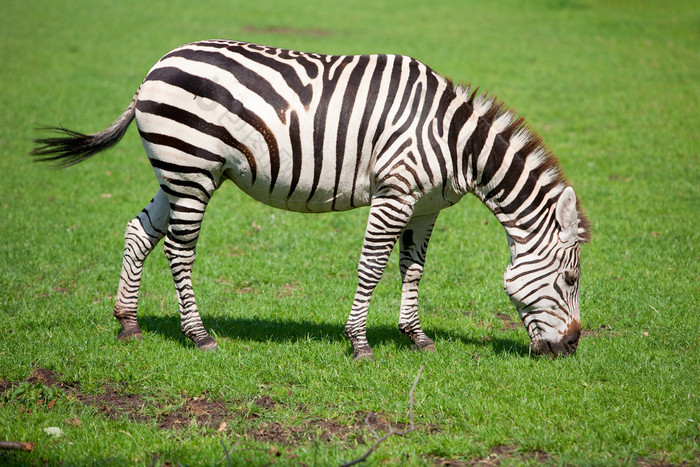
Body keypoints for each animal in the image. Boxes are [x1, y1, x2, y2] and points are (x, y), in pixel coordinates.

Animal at [32, 41, 592, 362]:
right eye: (570, 280)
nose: (571, 348)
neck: (455, 143)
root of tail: (157, 65)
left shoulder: (426, 205)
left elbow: (412, 269)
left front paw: (416, 337)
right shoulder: (395, 192)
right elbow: (372, 267)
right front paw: (360, 344)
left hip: (182, 169)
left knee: (140, 230)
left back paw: (128, 324)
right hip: (190, 168)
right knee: (178, 248)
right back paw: (199, 335)